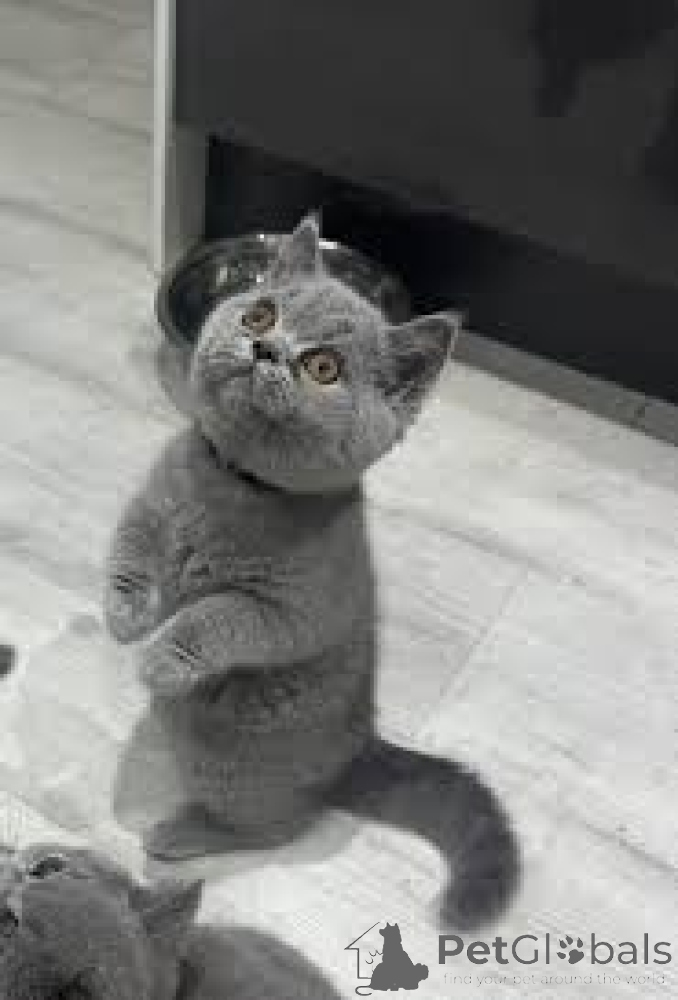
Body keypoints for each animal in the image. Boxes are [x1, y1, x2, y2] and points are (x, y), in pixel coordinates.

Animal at [105, 213, 520, 928]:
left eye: (323, 366)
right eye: (259, 313)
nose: (266, 349)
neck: (233, 487)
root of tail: (357, 755)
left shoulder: (291, 610)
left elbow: (219, 616)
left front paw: (160, 657)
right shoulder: (151, 503)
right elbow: (130, 549)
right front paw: (124, 618)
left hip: (233, 764)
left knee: (274, 827)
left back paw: (182, 832)